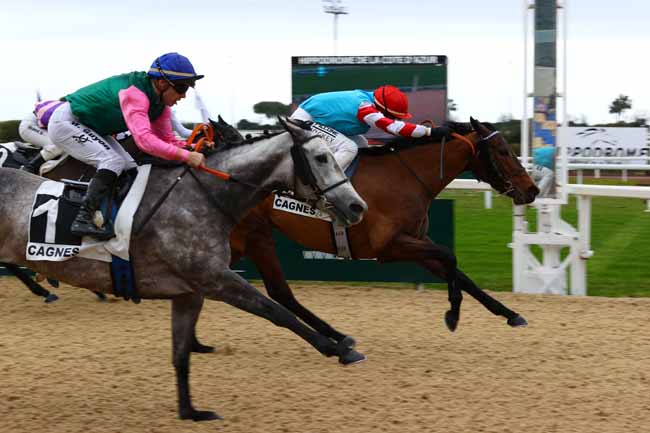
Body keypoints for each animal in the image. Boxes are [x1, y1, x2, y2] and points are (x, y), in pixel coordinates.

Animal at [0, 117, 368, 418]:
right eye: (321, 157)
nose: (357, 206)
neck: (199, 198)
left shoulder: (190, 291)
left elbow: (180, 355)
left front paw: (190, 410)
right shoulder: (216, 279)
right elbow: (276, 311)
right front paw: (337, 348)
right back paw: (45, 289)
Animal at [209, 117, 536, 352]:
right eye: (503, 151)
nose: (531, 190)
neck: (406, 177)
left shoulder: (416, 242)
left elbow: (460, 273)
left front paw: (509, 313)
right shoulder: (389, 247)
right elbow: (450, 256)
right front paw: (453, 313)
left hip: (249, 239)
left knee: (275, 292)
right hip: (251, 236)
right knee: (272, 291)